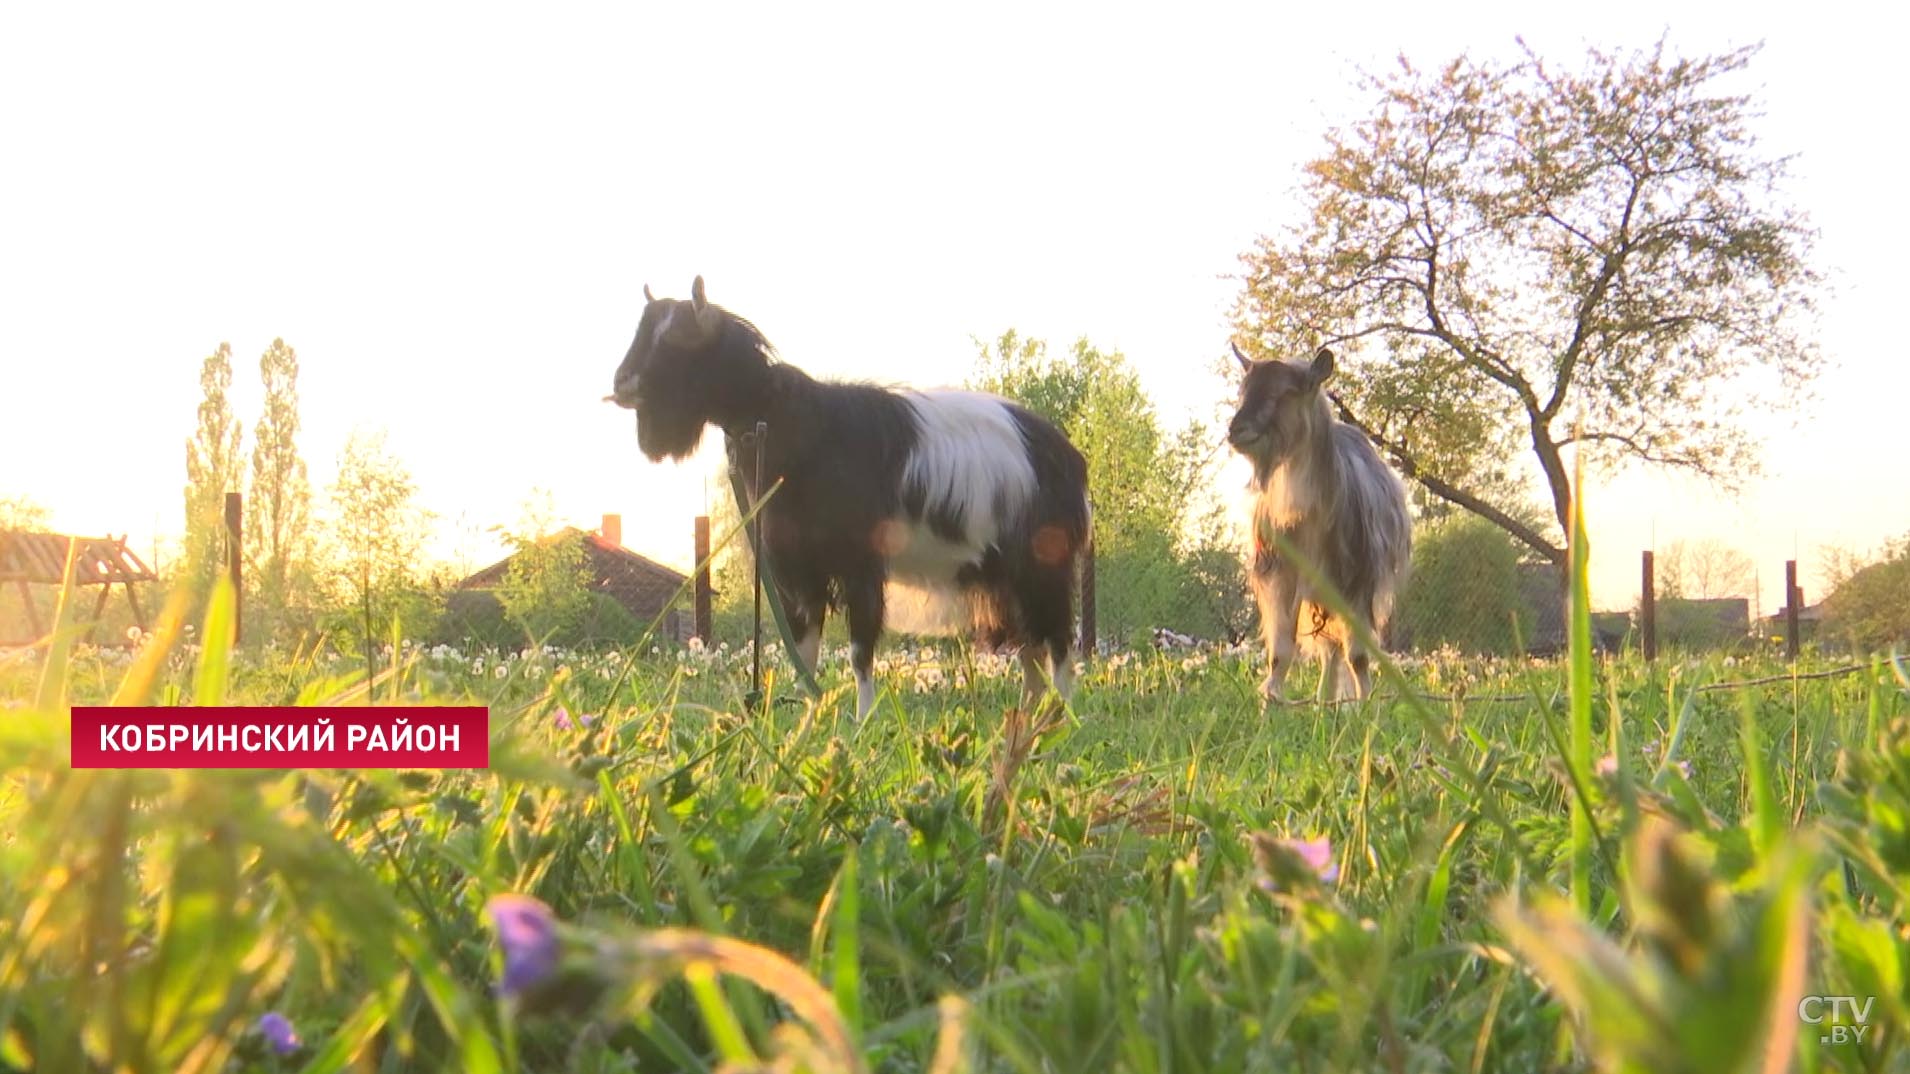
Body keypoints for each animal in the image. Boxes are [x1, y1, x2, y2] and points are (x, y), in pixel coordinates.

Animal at [611, 275, 1092, 714]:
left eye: (677, 339)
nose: (621, 384)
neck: (790, 423)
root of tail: (1067, 456)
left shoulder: (860, 562)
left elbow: (861, 651)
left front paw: (863, 722)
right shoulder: (796, 567)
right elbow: (804, 648)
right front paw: (805, 719)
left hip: (1043, 565)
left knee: (1059, 643)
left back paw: (1061, 718)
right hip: (1005, 579)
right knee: (1031, 648)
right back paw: (1027, 720)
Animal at [1230, 342, 1413, 703]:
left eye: (1285, 392)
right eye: (1243, 390)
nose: (1236, 430)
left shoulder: (1358, 580)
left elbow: (1358, 655)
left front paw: (1364, 704)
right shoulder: (1281, 575)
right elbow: (1280, 652)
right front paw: (1272, 701)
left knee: (1336, 647)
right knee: (1329, 649)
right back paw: (1323, 700)